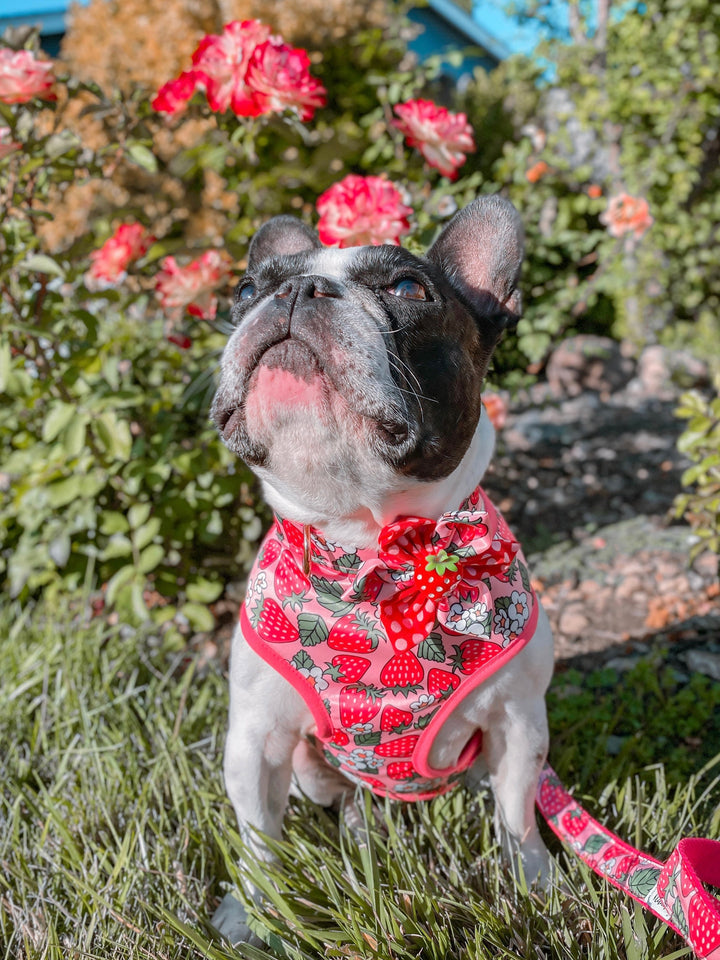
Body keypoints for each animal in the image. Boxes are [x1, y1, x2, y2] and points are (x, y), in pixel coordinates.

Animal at [211, 197, 556, 944]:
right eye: (247, 290)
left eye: (407, 288)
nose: (298, 289)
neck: (372, 552)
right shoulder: (257, 739)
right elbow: (258, 837)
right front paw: (252, 910)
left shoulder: (518, 725)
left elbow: (518, 816)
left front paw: (538, 886)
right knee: (346, 805)